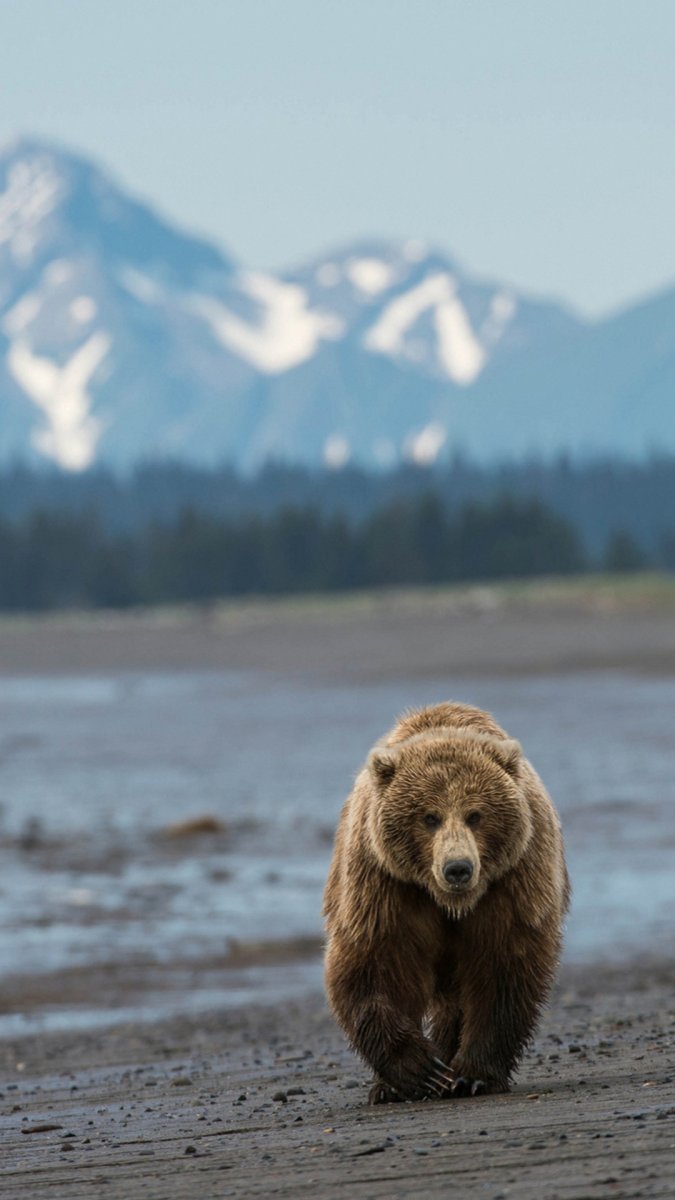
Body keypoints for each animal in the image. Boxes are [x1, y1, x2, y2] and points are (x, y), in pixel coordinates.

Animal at [323, 701, 569, 1104]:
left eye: (475, 814)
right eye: (429, 817)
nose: (458, 868)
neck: (450, 902)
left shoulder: (512, 881)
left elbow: (503, 967)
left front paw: (472, 1075)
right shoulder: (385, 884)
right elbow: (374, 962)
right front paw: (420, 1071)